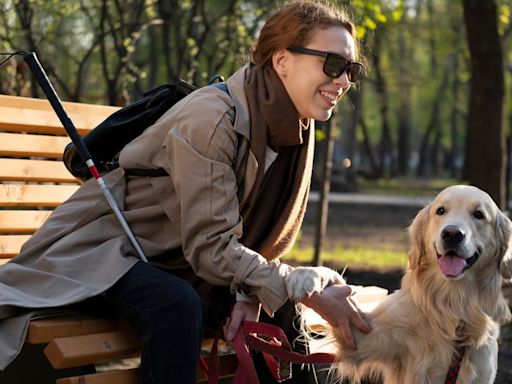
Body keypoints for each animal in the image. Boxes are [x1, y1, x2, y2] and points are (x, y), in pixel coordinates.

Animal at [286, 184, 510, 382]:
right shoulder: (362, 337)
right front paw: (306, 275)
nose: (452, 234)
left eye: (479, 214)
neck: (452, 304)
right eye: (440, 211)